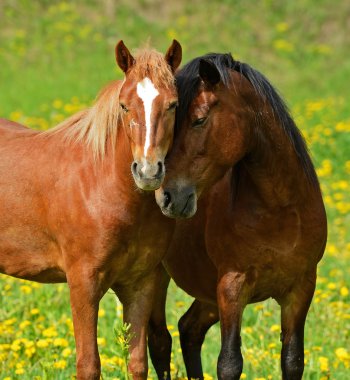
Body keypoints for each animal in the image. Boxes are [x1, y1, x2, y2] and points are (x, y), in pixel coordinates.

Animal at [0, 40, 180, 378]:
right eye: (124, 105)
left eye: (173, 105)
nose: (148, 171)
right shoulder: (83, 284)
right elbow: (88, 364)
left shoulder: (140, 284)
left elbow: (138, 362)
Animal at [153, 54, 328, 380]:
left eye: (199, 119)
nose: (167, 197)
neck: (279, 209)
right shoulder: (232, 287)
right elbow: (230, 363)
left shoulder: (301, 288)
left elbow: (292, 360)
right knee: (159, 341)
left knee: (189, 329)